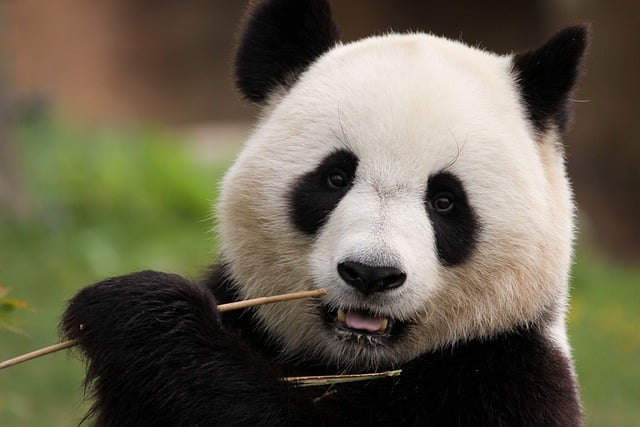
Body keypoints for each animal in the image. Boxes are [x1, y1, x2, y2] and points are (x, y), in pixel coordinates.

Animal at [61, 0, 592, 424]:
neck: (351, 364)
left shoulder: (501, 379)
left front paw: (136, 309)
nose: (371, 274)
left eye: (445, 201)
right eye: (335, 178)